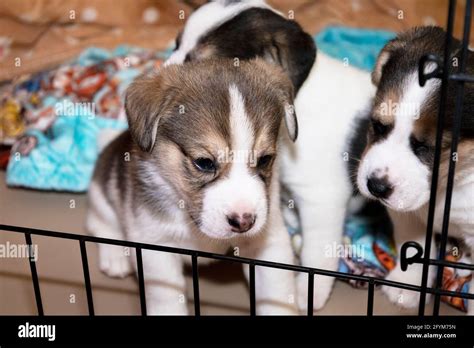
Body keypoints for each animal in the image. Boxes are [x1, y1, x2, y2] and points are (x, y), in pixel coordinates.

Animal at [358, 25, 472, 312]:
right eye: (379, 125)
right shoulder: (407, 213)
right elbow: (414, 244)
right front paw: (406, 285)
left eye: (427, 147)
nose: (376, 186)